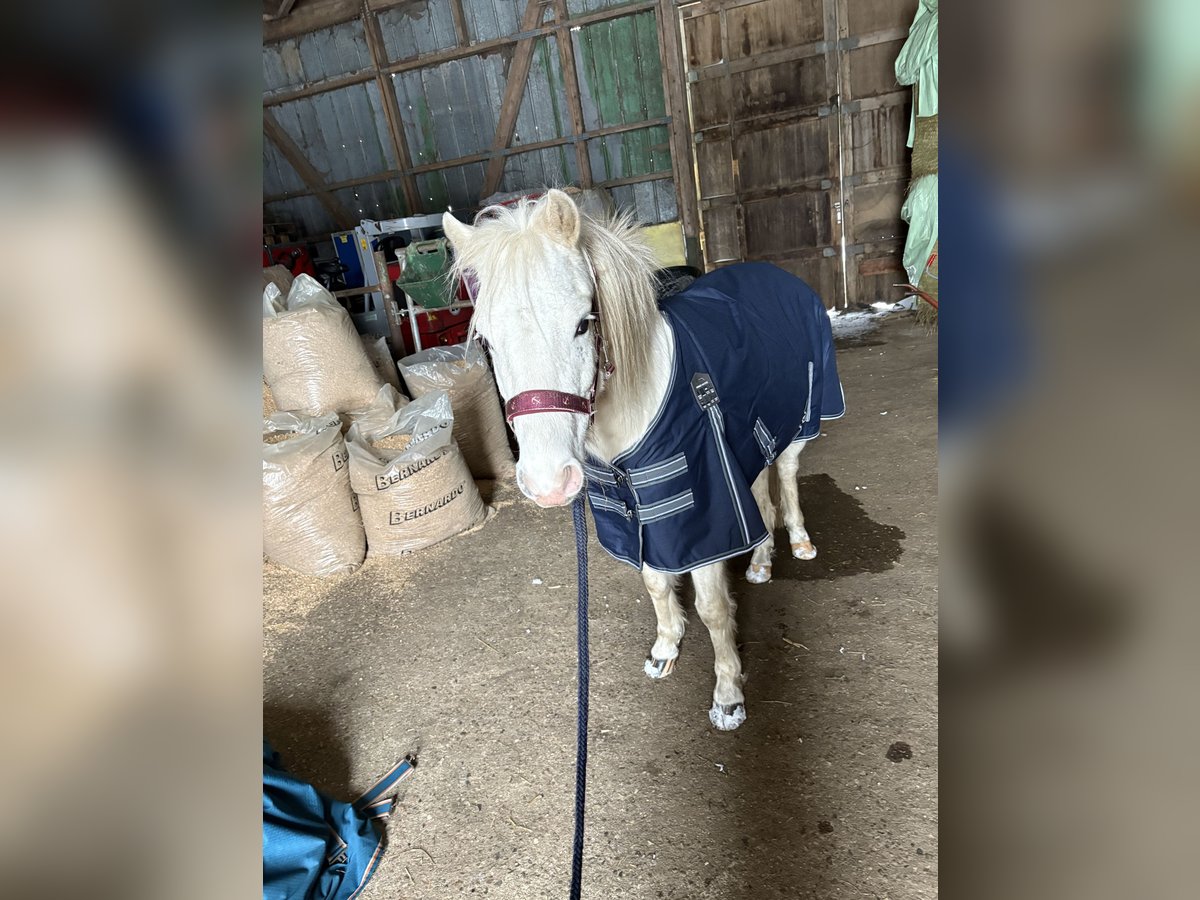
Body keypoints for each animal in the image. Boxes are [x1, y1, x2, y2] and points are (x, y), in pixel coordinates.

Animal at [442, 190, 844, 730]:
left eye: (583, 324)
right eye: (485, 340)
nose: (548, 483)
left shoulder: (700, 517)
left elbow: (713, 608)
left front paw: (728, 695)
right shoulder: (637, 511)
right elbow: (655, 580)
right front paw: (665, 649)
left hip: (802, 419)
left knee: (787, 472)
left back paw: (800, 543)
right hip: (749, 432)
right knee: (761, 489)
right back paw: (761, 563)